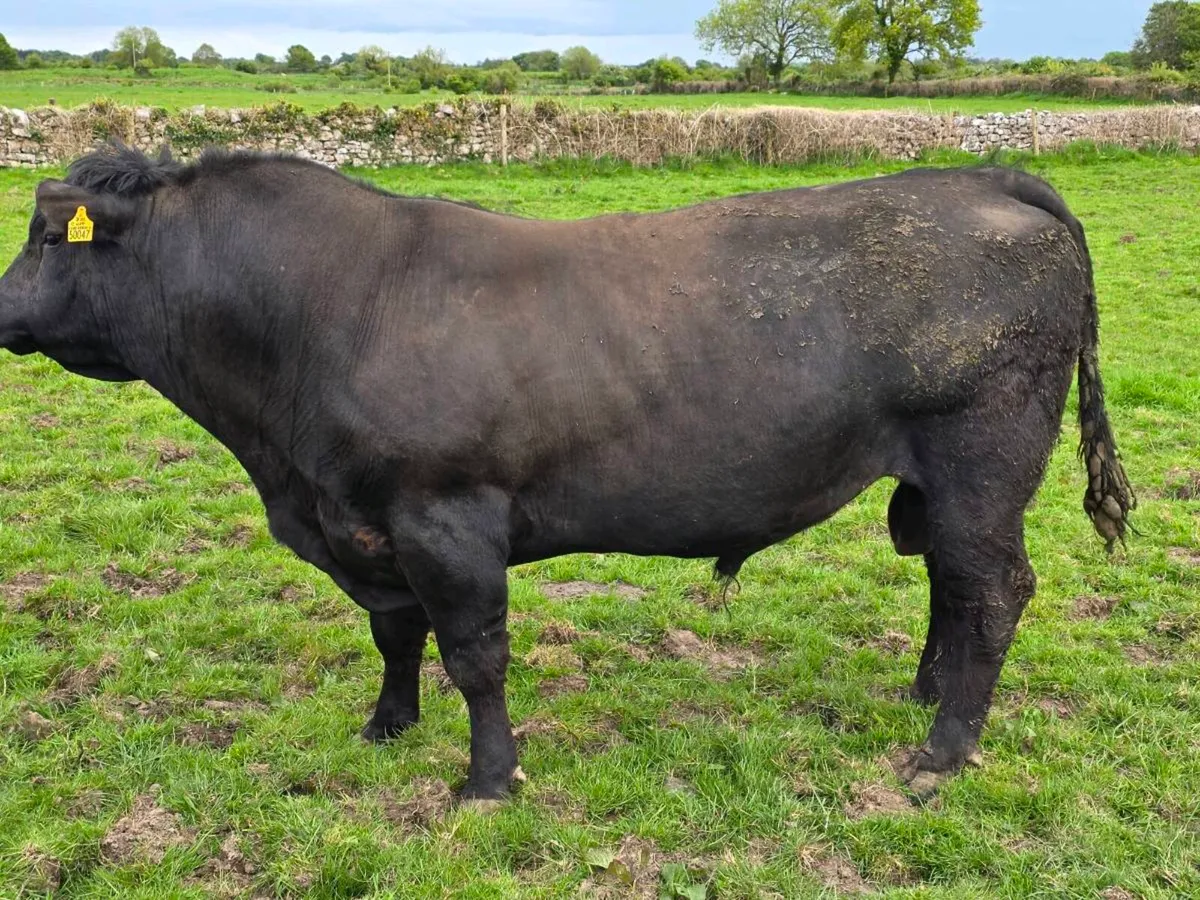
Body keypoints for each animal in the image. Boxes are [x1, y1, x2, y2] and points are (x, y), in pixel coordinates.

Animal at [0, 143, 1135, 803]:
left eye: (49, 233)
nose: (0, 307)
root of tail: (979, 177)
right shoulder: (366, 524)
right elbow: (394, 634)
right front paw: (387, 726)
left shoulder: (446, 518)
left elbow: (474, 656)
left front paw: (487, 781)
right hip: (943, 482)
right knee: (951, 582)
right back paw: (923, 694)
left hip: (982, 456)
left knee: (993, 589)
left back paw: (941, 752)